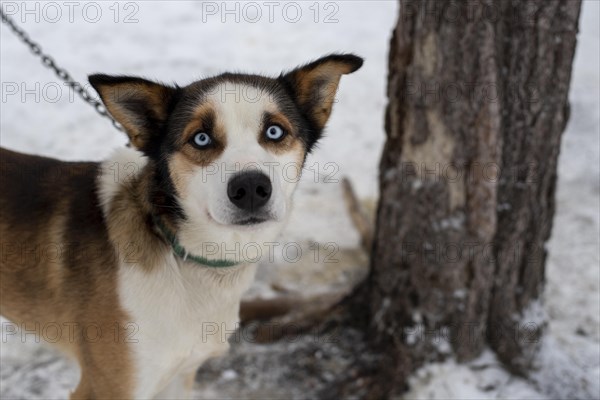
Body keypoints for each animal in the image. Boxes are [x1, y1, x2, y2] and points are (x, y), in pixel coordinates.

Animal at [0, 54, 364, 400]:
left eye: (275, 131)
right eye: (200, 138)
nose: (250, 188)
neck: (182, 257)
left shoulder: (179, 374)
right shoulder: (106, 387)